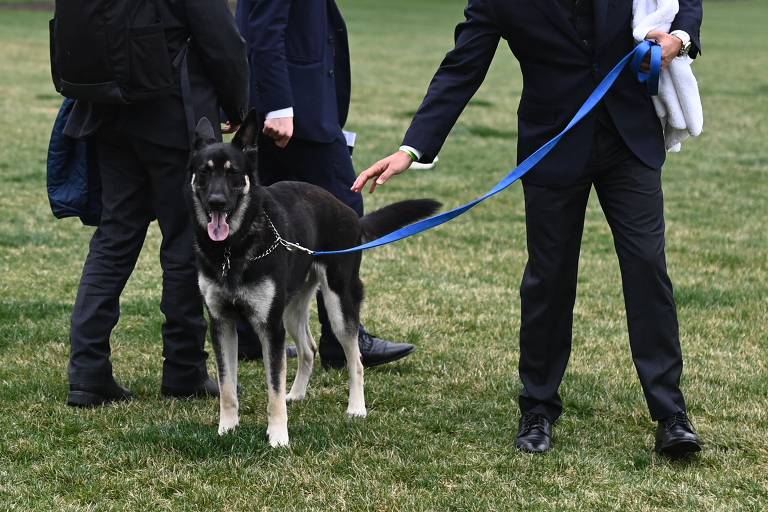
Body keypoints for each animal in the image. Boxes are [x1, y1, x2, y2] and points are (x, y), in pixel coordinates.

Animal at [184, 113, 440, 448]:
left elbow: (273, 388)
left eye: (233, 173)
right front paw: (227, 429)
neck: (233, 248)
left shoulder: (270, 327)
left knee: (355, 359)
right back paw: (297, 394)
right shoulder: (222, 323)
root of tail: (349, 213)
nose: (216, 202)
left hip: (337, 304)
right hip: (291, 310)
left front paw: (278, 437)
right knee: (309, 349)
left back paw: (356, 408)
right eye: (204, 172)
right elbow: (228, 387)